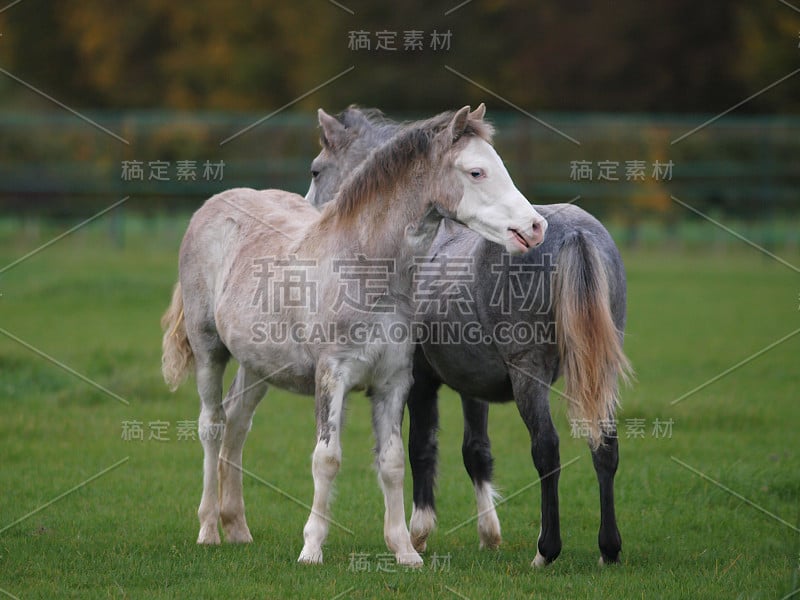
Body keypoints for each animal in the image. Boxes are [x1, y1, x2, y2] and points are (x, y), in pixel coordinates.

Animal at [159, 106, 548, 568]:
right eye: (476, 172)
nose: (535, 226)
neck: (364, 271)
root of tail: (212, 206)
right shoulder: (332, 376)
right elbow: (326, 458)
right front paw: (311, 548)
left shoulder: (393, 382)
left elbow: (393, 461)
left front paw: (404, 550)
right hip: (209, 349)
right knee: (212, 425)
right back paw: (208, 529)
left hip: (257, 365)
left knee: (237, 423)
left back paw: (237, 527)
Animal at [306, 105, 632, 564]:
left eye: (317, 171)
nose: (313, 220)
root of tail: (577, 233)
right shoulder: (473, 386)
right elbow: (476, 451)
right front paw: (488, 533)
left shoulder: (420, 380)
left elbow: (421, 447)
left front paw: (418, 532)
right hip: (597, 370)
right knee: (604, 445)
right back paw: (609, 548)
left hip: (530, 375)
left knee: (547, 448)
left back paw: (546, 550)